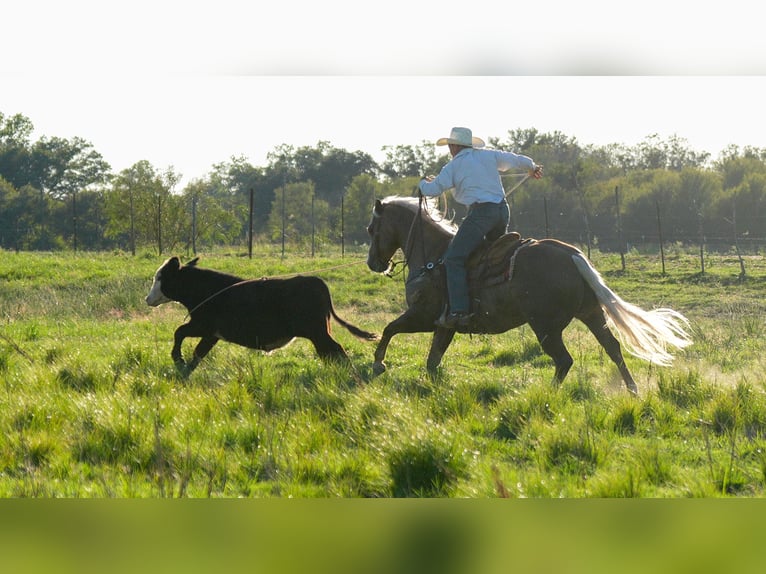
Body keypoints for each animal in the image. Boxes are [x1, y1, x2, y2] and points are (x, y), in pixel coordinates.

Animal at [364, 196, 692, 394]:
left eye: (370, 228)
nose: (373, 264)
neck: (434, 256)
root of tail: (571, 255)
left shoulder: (423, 316)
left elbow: (389, 328)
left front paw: (379, 363)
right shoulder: (445, 325)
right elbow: (433, 359)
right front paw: (433, 383)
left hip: (545, 326)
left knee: (564, 360)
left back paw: (548, 394)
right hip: (591, 314)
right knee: (612, 348)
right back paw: (633, 389)